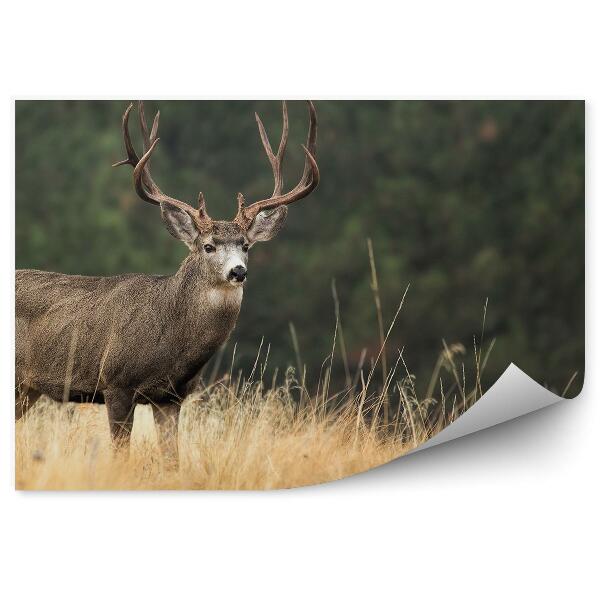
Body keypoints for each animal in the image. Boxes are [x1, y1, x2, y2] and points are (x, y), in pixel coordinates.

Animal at [15, 99, 318, 464]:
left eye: (245, 245)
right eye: (208, 246)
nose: (238, 271)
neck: (171, 339)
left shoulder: (171, 397)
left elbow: (173, 459)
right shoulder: (116, 382)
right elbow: (121, 454)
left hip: (27, 390)